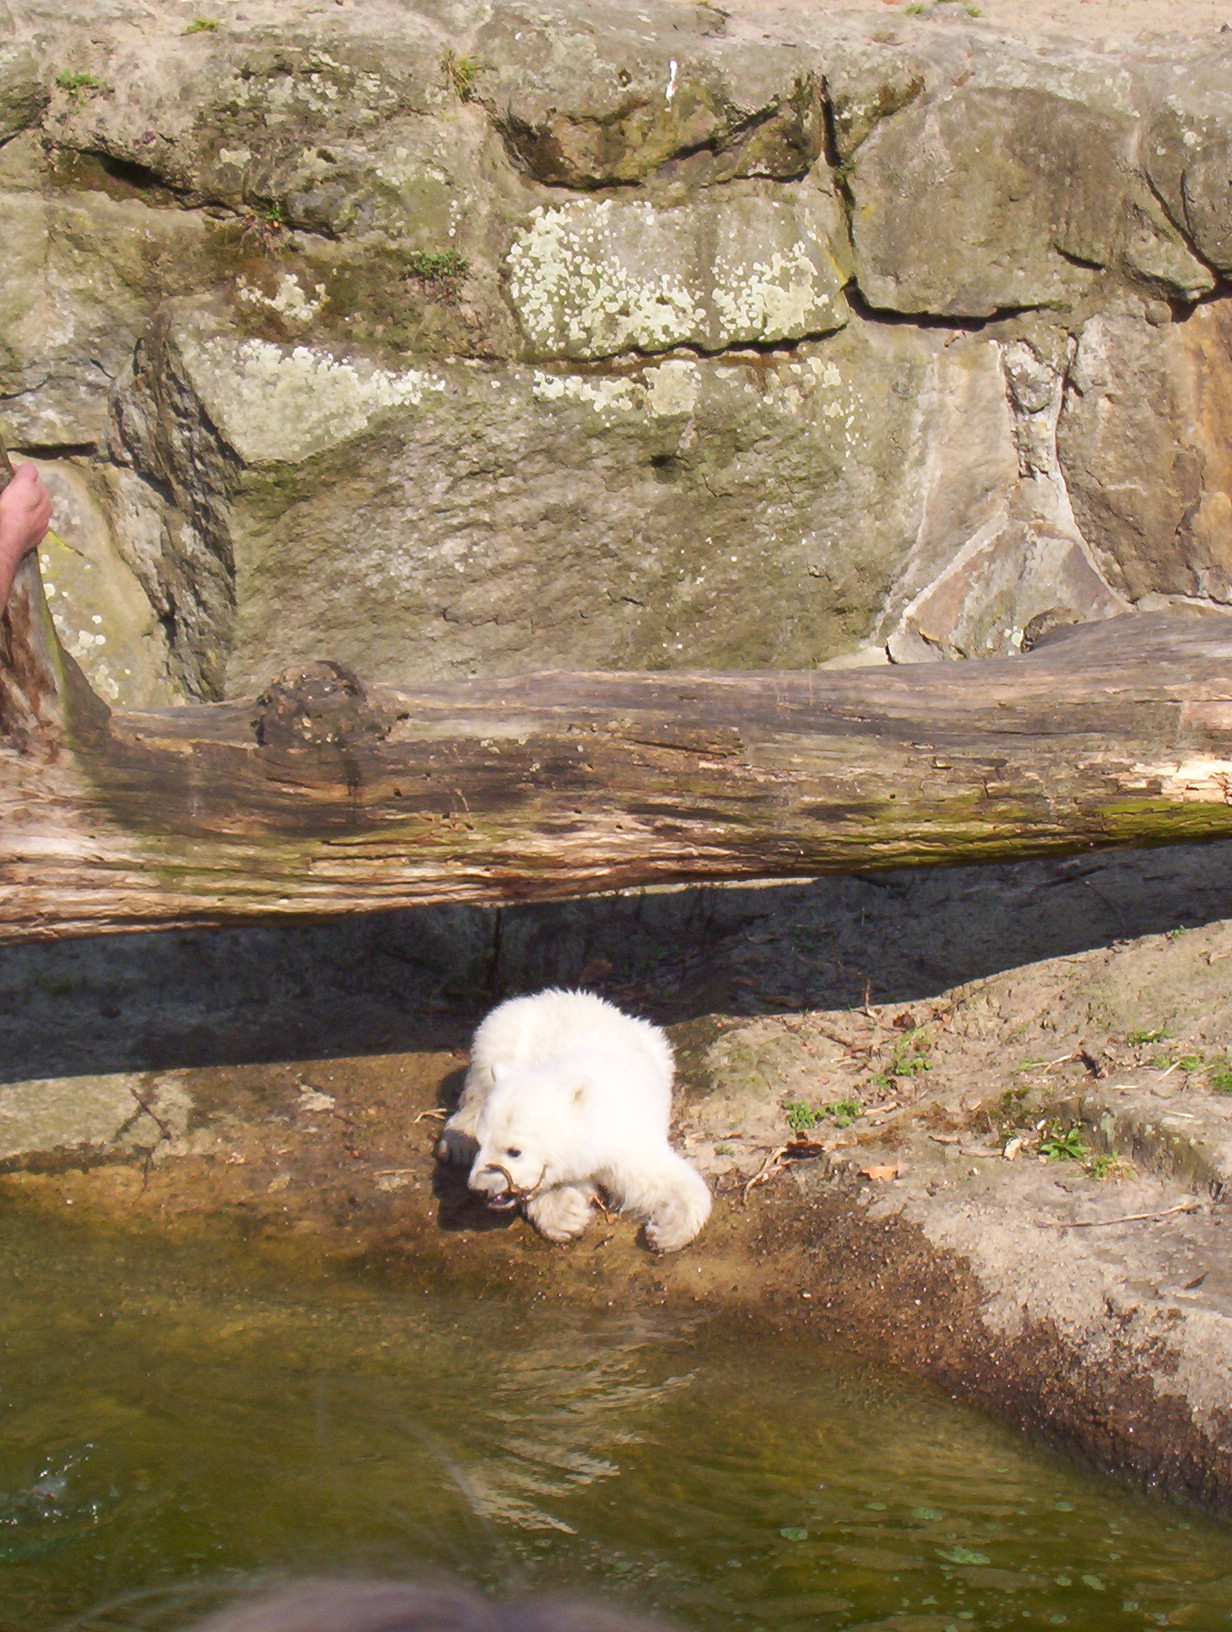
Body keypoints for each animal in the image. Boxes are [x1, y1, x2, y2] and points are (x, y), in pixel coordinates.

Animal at [436, 988, 711, 1253]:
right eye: (483, 1144)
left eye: (515, 1151)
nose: (479, 1188)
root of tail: (551, 995)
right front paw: (565, 1214)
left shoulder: (627, 1139)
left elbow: (656, 1179)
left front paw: (667, 1232)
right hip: (503, 1027)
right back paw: (457, 1142)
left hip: (658, 1046)